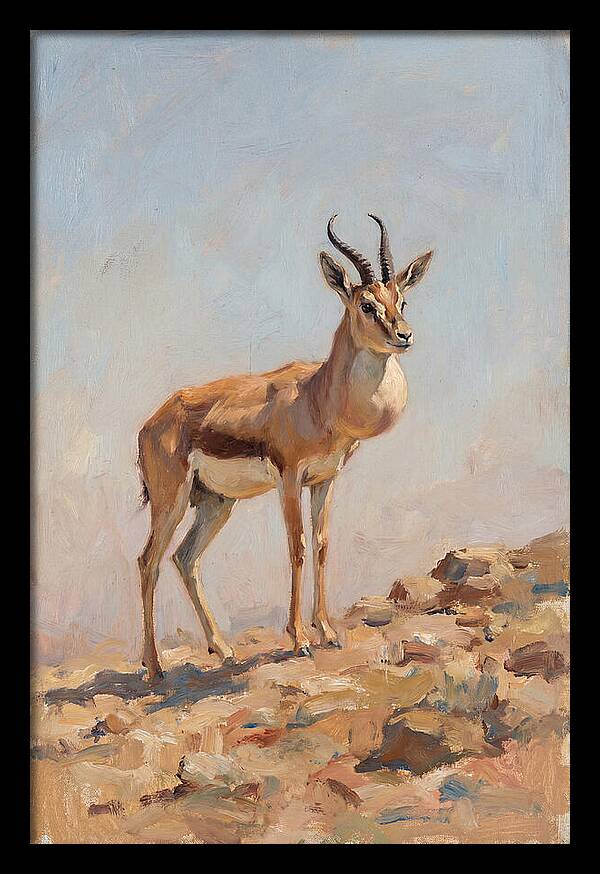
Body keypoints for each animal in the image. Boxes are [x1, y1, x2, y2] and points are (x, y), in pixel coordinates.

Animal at [137, 215, 433, 680]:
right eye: (366, 304)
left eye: (401, 298)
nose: (404, 335)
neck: (317, 397)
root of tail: (152, 422)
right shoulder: (290, 479)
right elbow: (296, 547)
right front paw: (299, 640)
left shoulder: (325, 480)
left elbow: (323, 545)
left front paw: (327, 631)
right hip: (172, 500)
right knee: (148, 562)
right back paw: (154, 668)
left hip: (215, 502)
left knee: (184, 559)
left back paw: (224, 650)